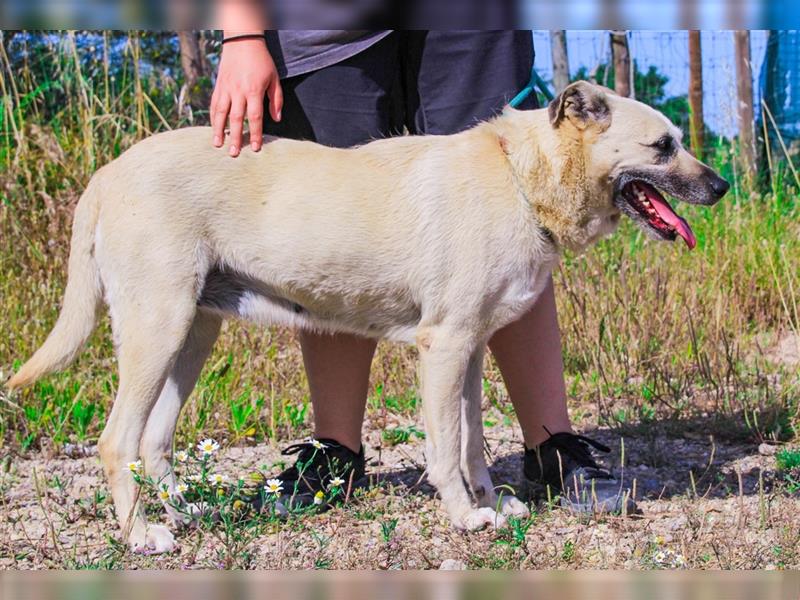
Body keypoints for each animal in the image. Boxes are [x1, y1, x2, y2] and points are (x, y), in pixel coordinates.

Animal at [7, 81, 732, 552]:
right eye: (662, 146)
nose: (722, 186)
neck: (523, 177)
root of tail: (109, 172)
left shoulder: (471, 351)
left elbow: (471, 441)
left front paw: (490, 504)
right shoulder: (444, 347)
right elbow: (445, 448)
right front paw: (465, 518)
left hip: (191, 334)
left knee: (154, 442)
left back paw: (185, 513)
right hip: (157, 329)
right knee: (117, 441)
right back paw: (143, 535)